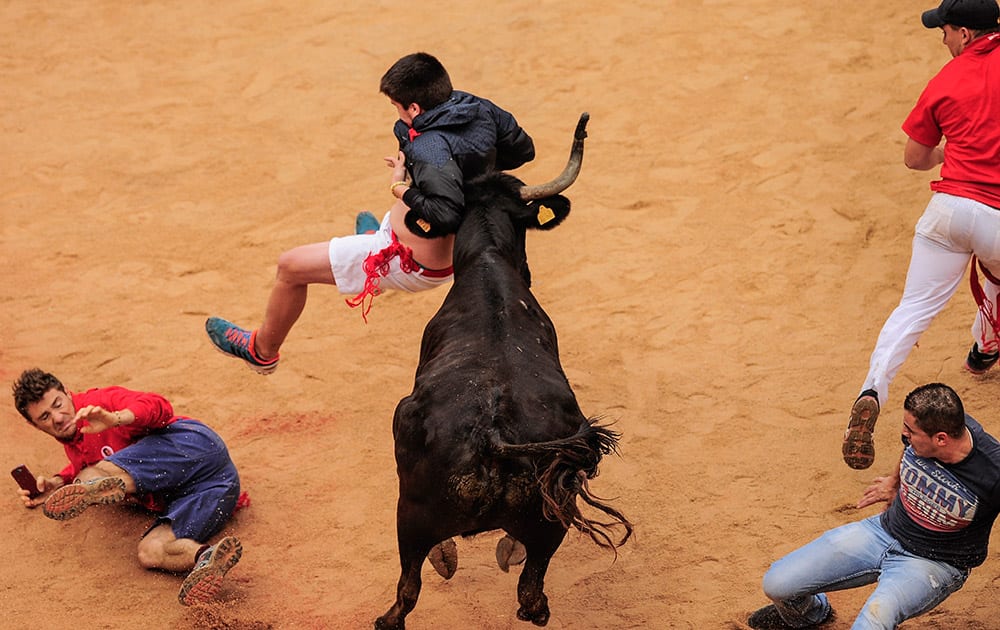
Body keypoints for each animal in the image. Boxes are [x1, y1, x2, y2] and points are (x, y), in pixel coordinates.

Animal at [376, 115, 632, 630]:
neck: (487, 259)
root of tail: (493, 439)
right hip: (550, 520)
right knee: (532, 600)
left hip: (408, 516)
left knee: (408, 593)